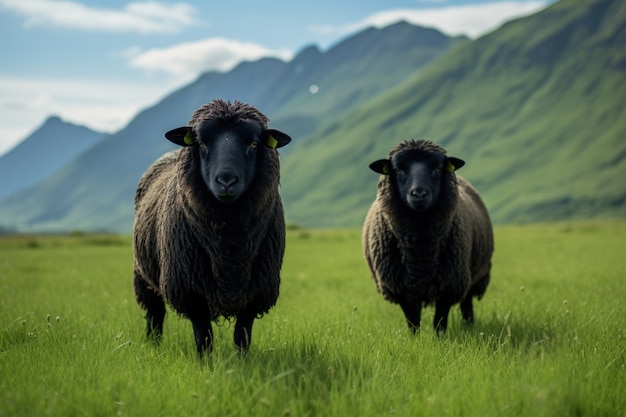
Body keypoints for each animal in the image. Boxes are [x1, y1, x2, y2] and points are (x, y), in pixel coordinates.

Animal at [132, 98, 292, 354]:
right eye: (200, 143)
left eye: (254, 144)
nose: (226, 181)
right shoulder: (192, 292)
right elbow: (203, 338)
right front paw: (207, 364)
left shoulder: (256, 291)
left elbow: (242, 337)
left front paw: (242, 362)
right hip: (142, 274)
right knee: (154, 314)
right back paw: (153, 346)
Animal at [360, 140, 492, 334]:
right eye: (398, 169)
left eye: (437, 168)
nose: (419, 194)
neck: (420, 249)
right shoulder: (400, 288)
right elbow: (413, 322)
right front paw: (415, 339)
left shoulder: (449, 285)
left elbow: (440, 321)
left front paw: (441, 338)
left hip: (473, 275)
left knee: (467, 303)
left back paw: (469, 324)